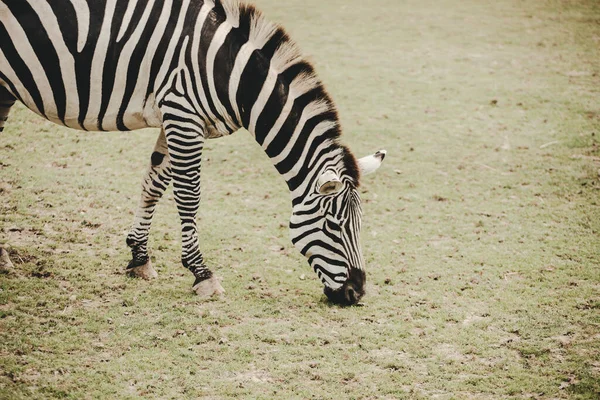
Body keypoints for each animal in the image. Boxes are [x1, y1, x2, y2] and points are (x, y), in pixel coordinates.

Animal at [0, 0, 386, 304]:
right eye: (333, 225)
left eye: (361, 224)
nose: (356, 293)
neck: (231, 73)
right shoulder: (183, 113)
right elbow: (188, 195)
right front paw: (201, 273)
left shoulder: (175, 117)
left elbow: (154, 184)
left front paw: (139, 256)